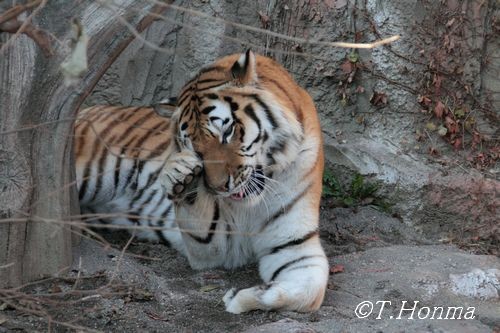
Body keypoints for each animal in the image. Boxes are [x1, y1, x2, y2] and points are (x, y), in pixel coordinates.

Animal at [75, 50, 328, 312]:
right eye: (195, 148)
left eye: (227, 132)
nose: (220, 187)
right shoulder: (215, 246)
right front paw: (179, 173)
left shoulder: (294, 244)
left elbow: (308, 291)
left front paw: (239, 297)